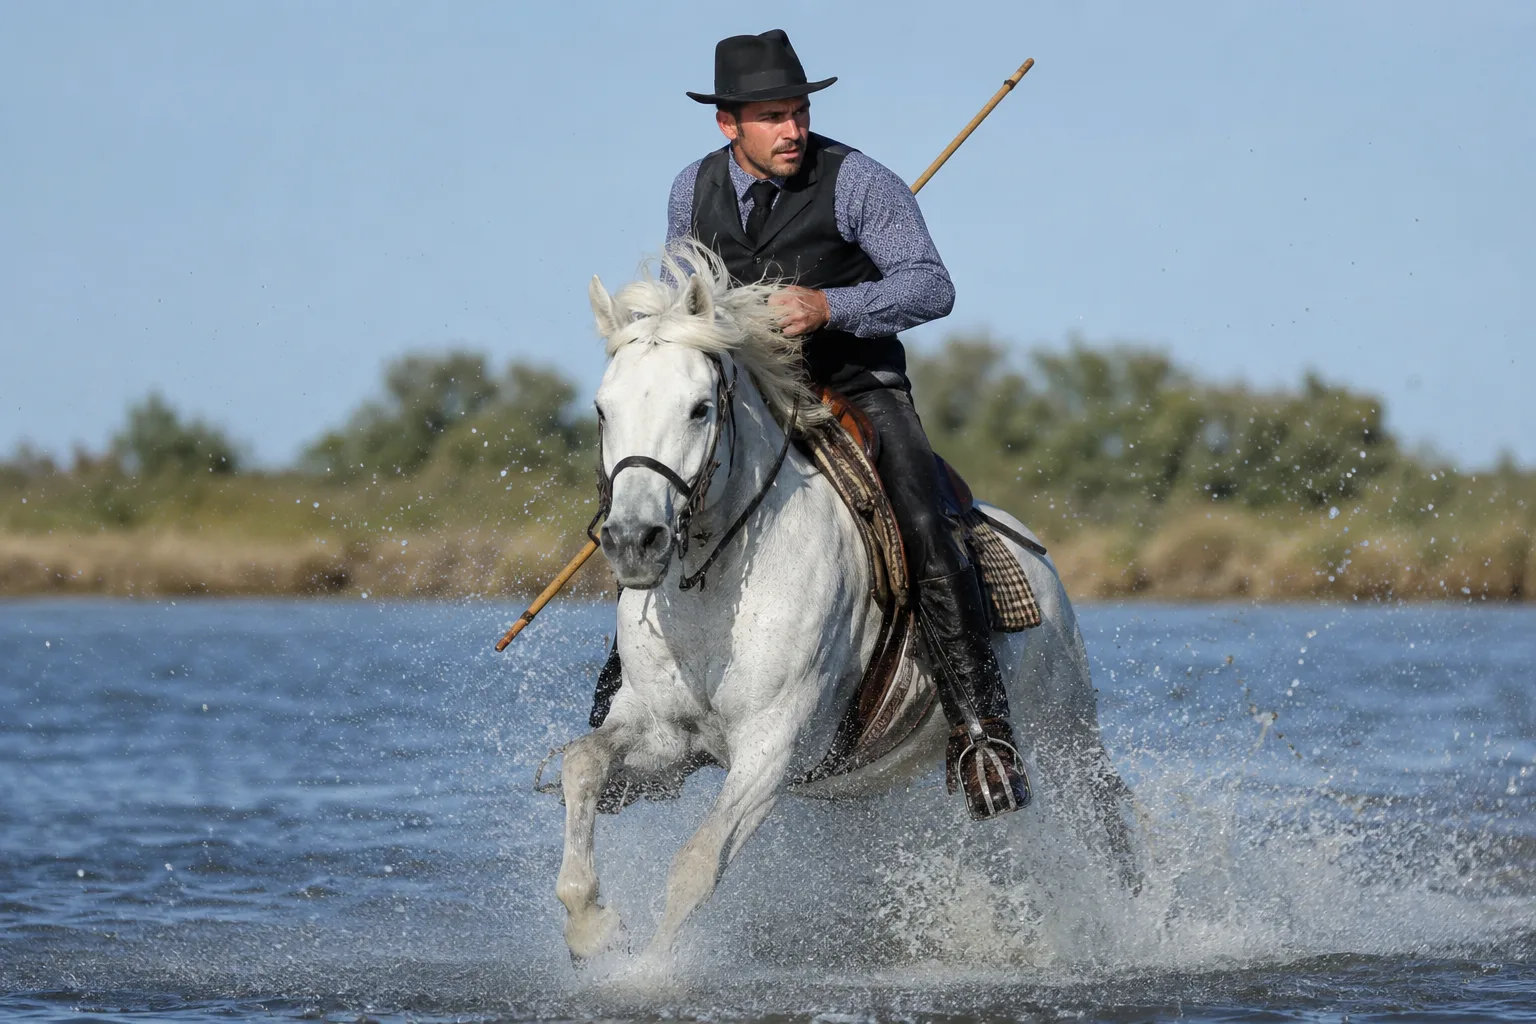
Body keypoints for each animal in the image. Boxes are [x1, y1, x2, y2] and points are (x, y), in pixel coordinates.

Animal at [555, 240, 1136, 959]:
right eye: (602, 409)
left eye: (698, 408)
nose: (634, 540)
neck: (715, 588)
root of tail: (1038, 560)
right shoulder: (663, 736)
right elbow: (581, 765)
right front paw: (591, 925)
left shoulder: (773, 747)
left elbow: (696, 864)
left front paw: (651, 969)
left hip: (1066, 732)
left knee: (1107, 819)